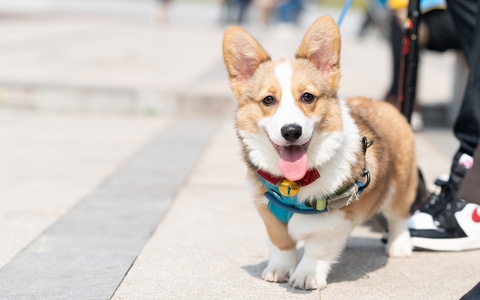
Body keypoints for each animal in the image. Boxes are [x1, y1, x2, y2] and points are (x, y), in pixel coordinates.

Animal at [223, 17, 418, 290]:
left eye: (307, 97)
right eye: (268, 100)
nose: (291, 131)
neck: (293, 183)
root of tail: (384, 104)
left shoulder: (337, 218)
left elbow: (317, 249)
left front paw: (306, 275)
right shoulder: (267, 211)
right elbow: (281, 243)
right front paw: (280, 269)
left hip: (401, 184)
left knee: (398, 215)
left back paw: (399, 245)